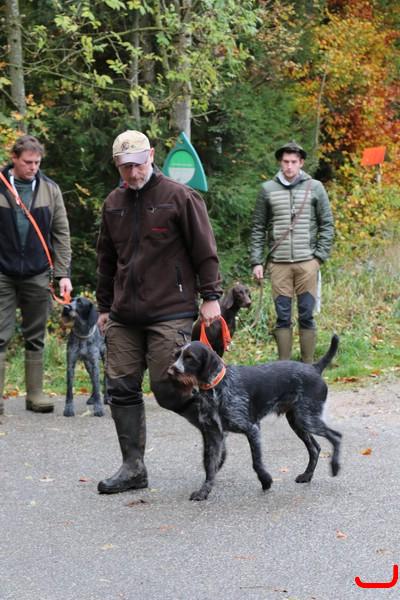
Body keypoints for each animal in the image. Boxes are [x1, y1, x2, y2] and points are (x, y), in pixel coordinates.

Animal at [167, 335, 342, 501]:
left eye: (190, 358)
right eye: (176, 355)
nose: (170, 372)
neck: (216, 389)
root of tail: (314, 368)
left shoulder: (252, 428)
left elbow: (256, 462)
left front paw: (266, 480)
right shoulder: (214, 434)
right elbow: (210, 466)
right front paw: (204, 491)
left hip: (307, 419)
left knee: (336, 436)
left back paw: (335, 466)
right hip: (298, 421)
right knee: (315, 448)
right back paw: (307, 475)